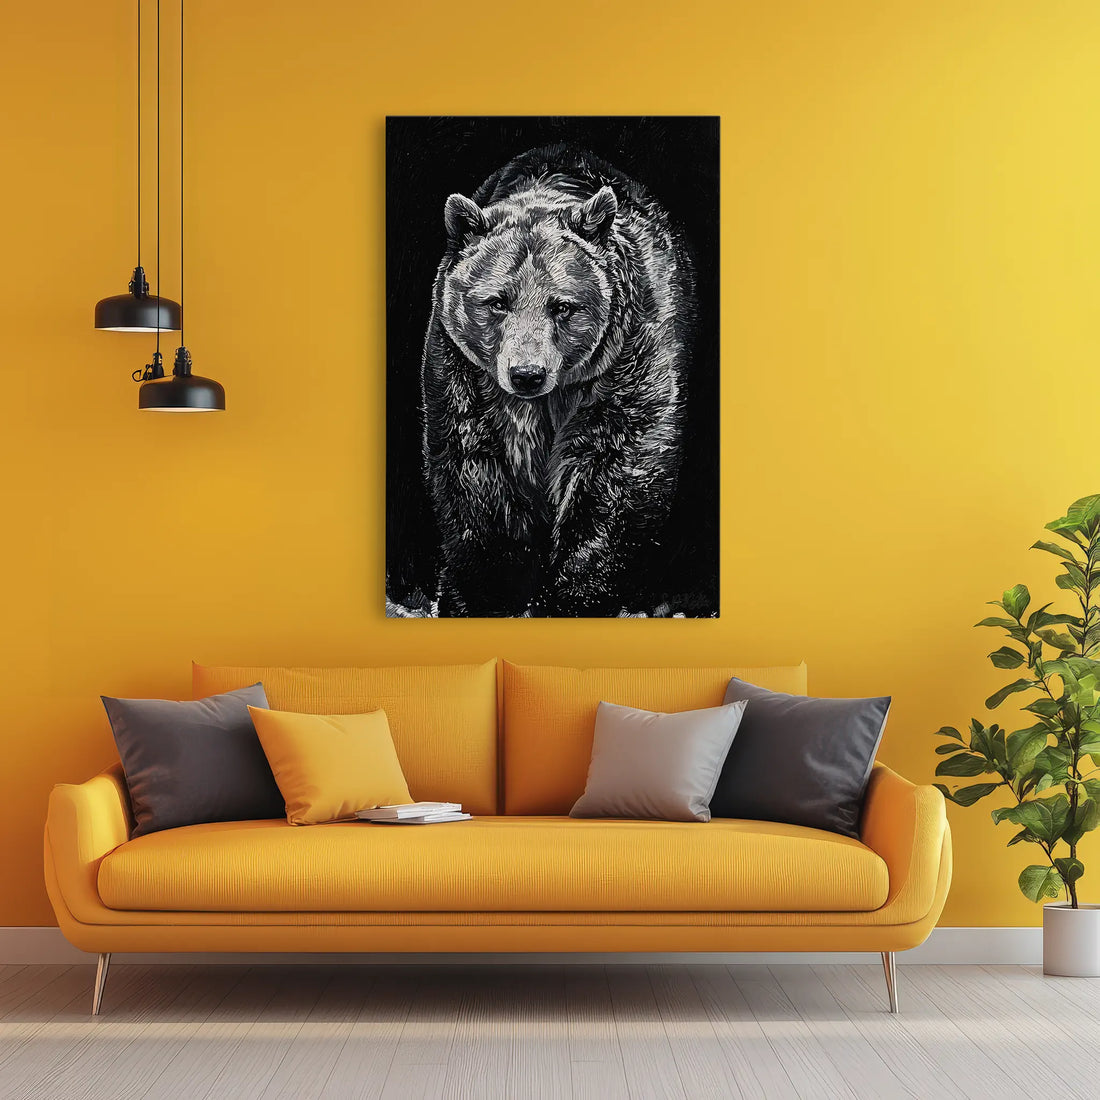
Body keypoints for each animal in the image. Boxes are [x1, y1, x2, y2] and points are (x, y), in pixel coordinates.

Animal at [420, 144, 696, 617]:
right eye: (498, 302)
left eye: (562, 305)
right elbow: (475, 474)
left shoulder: (628, 360)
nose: (527, 374)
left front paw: (568, 596)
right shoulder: (463, 371)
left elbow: (615, 472)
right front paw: (491, 592)